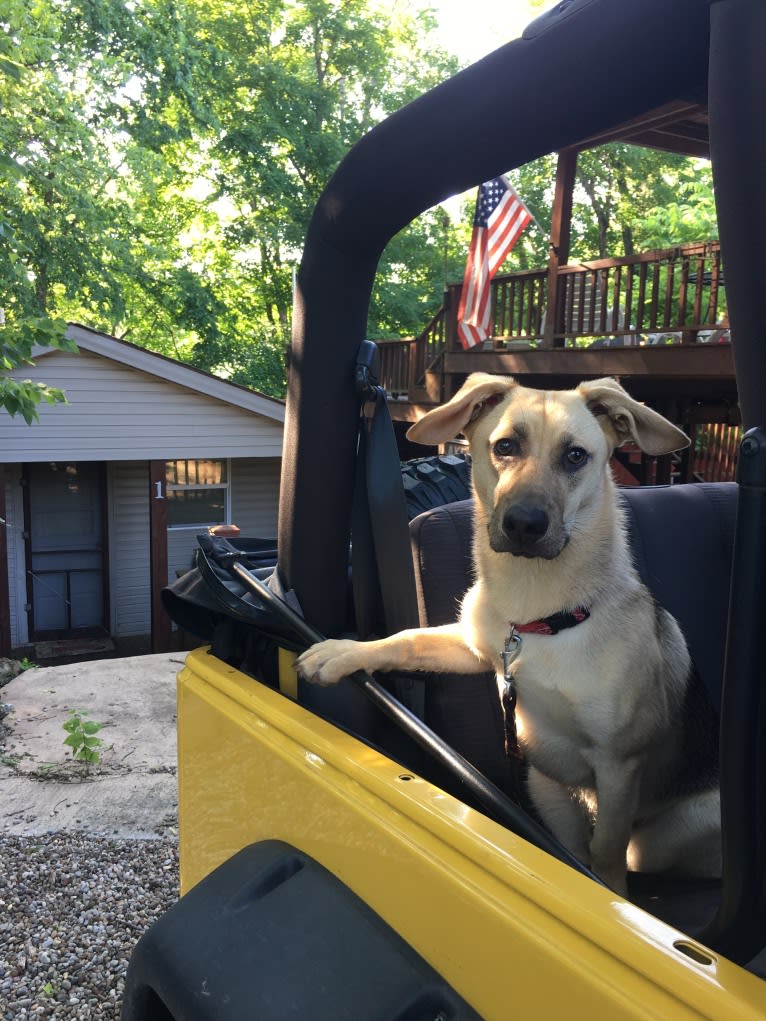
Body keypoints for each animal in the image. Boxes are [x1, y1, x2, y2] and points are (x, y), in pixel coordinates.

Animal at [296, 375, 723, 894]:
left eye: (575, 456)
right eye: (505, 447)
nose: (524, 524)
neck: (539, 615)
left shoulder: (619, 766)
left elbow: (605, 854)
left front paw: (612, 899)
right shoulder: (475, 646)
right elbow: (406, 639)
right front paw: (342, 652)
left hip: (671, 829)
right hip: (547, 787)